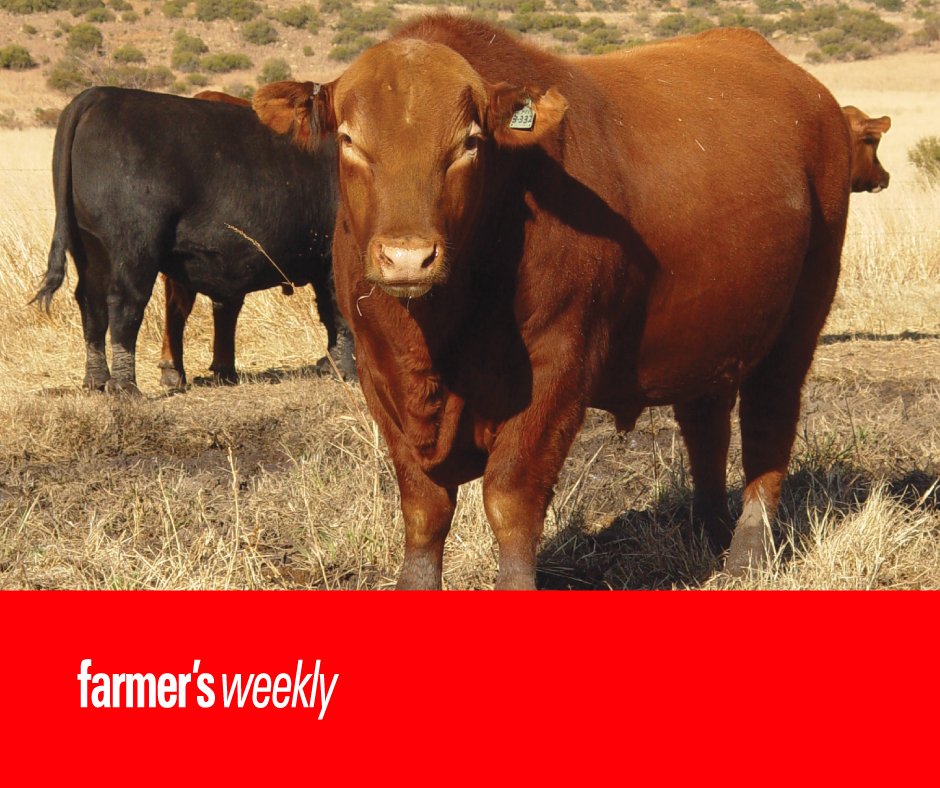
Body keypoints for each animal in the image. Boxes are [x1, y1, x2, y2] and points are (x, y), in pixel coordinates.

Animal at [33, 86, 354, 393]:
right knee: (125, 303)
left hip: (90, 248)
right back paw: (126, 385)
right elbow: (342, 313)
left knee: (92, 303)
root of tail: (98, 95)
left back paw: (97, 379)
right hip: (134, 248)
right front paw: (346, 369)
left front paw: (333, 364)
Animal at [255, 17, 852, 589]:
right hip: (710, 333)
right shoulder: (379, 374)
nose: (407, 257)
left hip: (800, 318)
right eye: (349, 140)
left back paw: (747, 554)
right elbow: (424, 507)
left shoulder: (557, 367)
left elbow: (510, 500)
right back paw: (708, 533)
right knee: (707, 426)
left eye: (469, 143)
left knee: (768, 426)